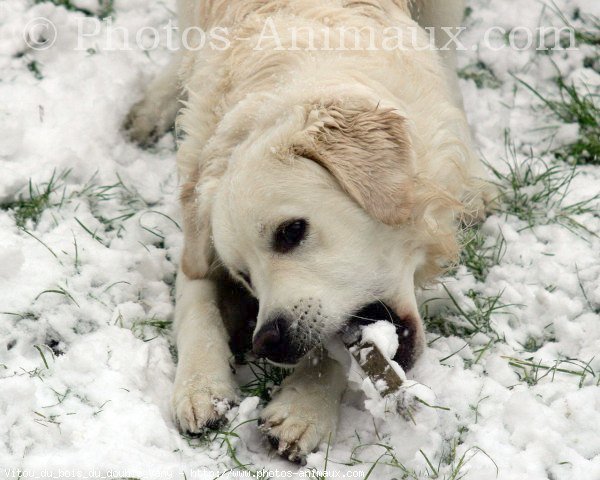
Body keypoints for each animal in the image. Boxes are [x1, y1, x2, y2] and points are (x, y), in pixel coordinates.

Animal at [125, 0, 492, 462]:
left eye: (291, 231)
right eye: (244, 276)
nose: (267, 343)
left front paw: (303, 407)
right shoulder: (197, 236)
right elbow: (196, 300)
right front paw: (200, 387)